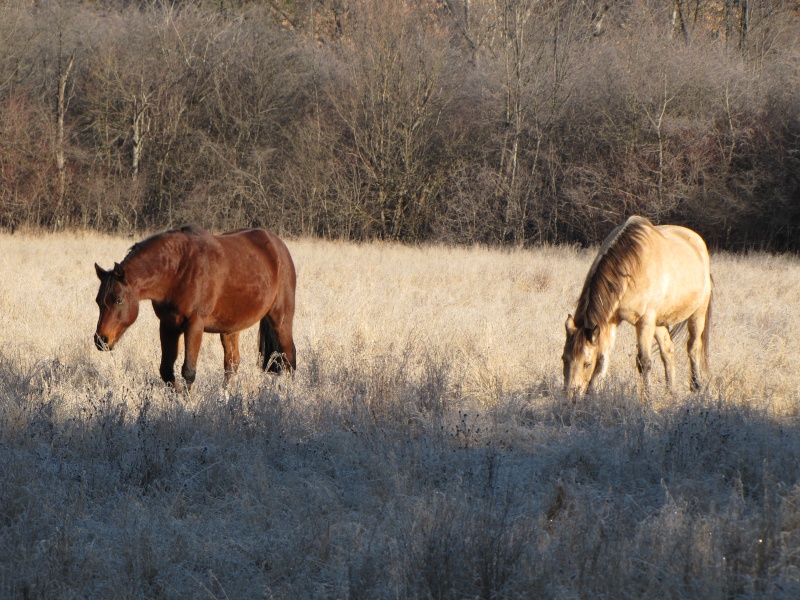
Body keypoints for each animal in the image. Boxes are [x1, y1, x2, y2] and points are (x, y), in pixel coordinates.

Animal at [96, 224, 296, 390]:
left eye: (119, 300)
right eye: (98, 301)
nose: (101, 340)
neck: (177, 271)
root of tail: (278, 246)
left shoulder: (194, 325)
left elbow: (189, 371)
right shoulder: (168, 326)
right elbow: (166, 371)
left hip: (281, 319)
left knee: (289, 357)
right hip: (230, 328)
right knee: (231, 364)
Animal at [564, 216, 712, 398]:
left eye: (587, 363)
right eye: (564, 358)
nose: (570, 396)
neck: (632, 268)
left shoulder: (644, 321)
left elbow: (644, 361)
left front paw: (647, 398)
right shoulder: (611, 321)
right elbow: (603, 359)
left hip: (697, 313)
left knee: (693, 347)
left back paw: (696, 386)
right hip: (659, 322)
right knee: (668, 351)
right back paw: (671, 391)